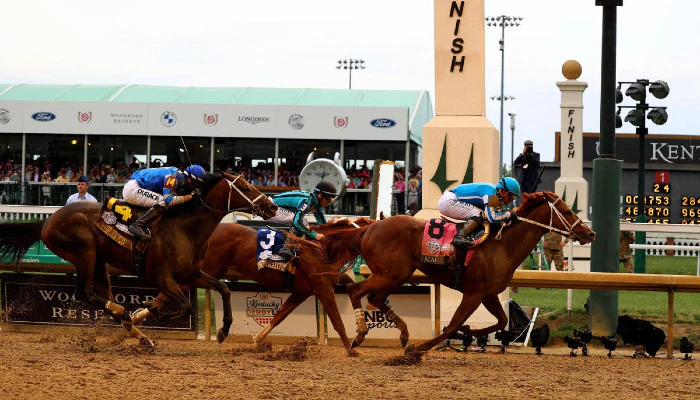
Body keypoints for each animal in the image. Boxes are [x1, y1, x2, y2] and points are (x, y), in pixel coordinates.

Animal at [0, 171, 277, 346]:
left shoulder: (191, 273)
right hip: (84, 252)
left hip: (98, 261)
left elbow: (223, 289)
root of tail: (48, 220)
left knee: (102, 296)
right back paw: (123, 313)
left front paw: (224, 329)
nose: (272, 206)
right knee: (85, 293)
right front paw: (154, 311)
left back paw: (139, 334)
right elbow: (185, 307)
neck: (185, 227)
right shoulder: (160, 277)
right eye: (244, 187)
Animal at [132, 217, 375, 356]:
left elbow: (280, 316)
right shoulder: (323, 288)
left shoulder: (302, 291)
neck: (322, 249)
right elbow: (337, 321)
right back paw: (139, 316)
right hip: (204, 269)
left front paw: (258, 339)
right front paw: (352, 349)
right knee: (171, 288)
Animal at [321, 191, 596, 353]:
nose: (590, 233)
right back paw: (359, 335)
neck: (501, 246)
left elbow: (501, 321)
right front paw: (420, 349)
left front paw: (470, 332)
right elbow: (452, 326)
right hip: (390, 274)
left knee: (375, 297)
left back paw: (403, 334)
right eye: (568, 211)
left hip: (398, 275)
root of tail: (369, 227)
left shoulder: (488, 294)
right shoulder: (473, 294)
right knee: (355, 290)